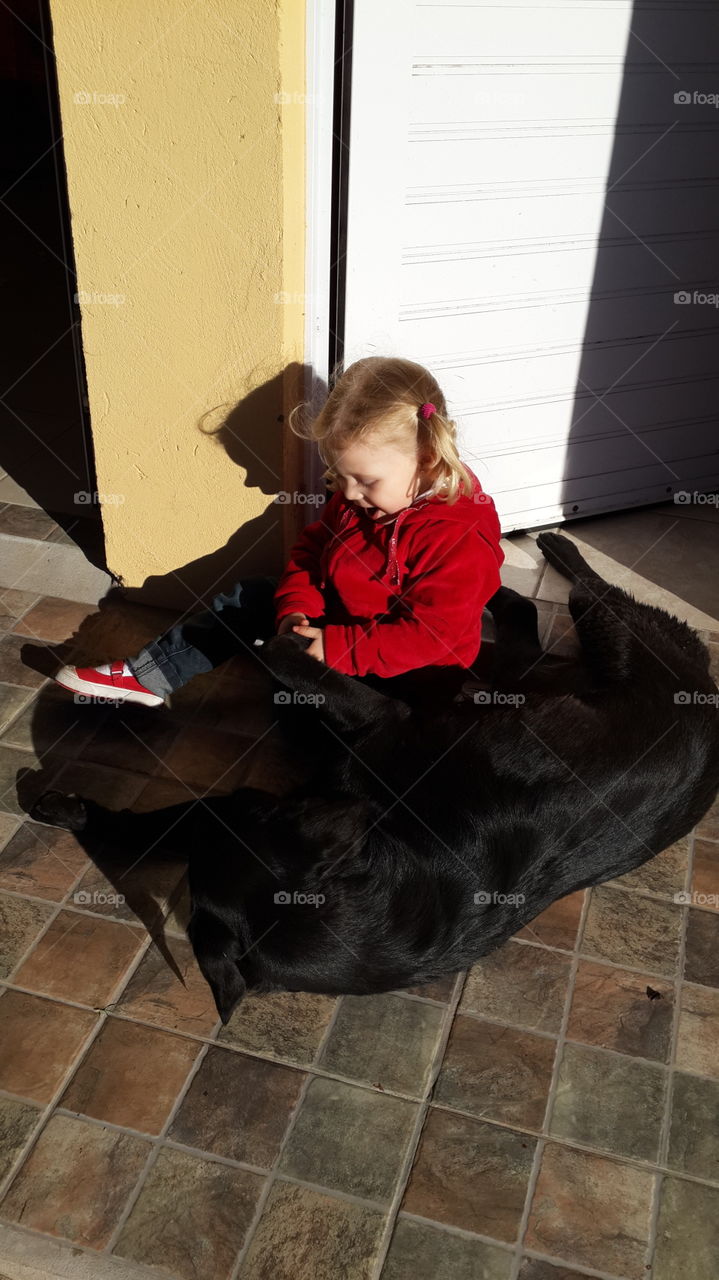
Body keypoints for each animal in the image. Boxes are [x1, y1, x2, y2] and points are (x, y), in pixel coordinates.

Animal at [29, 529, 716, 1018]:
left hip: (608, 633)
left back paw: (541, 549)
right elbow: (146, 826)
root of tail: (708, 698)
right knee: (523, 616)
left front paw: (289, 627)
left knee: (586, 592)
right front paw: (66, 807)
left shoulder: (370, 722)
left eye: (273, 812)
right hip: (518, 668)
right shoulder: (231, 807)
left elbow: (287, 654)